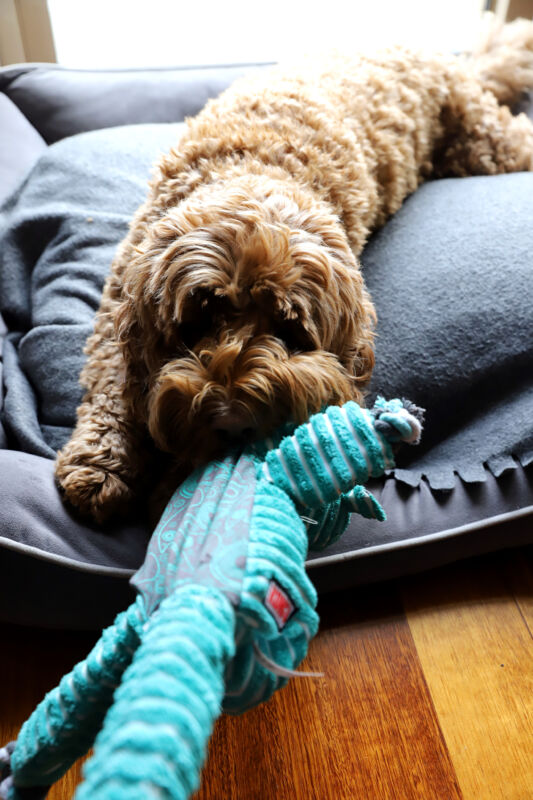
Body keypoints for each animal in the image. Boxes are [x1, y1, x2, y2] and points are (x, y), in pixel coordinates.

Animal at [55, 17, 532, 524]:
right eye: (198, 323)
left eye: (290, 330)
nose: (232, 421)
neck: (251, 167)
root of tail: (430, 52)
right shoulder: (118, 309)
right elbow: (110, 383)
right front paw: (102, 464)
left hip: (485, 144)